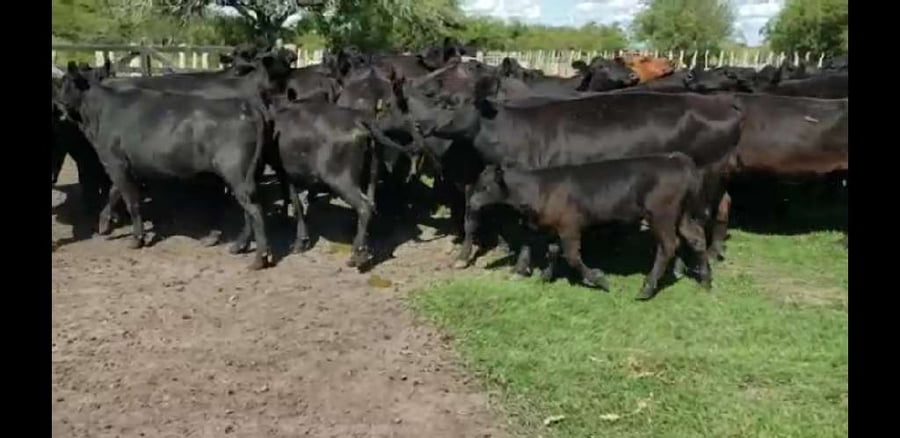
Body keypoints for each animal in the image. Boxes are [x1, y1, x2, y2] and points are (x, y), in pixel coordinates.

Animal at [57, 63, 272, 270]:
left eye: (64, 83)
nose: (58, 102)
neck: (100, 110)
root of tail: (247, 108)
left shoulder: (115, 162)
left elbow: (131, 201)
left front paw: (136, 239)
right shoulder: (129, 166)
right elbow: (114, 192)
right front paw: (104, 224)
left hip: (237, 172)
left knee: (254, 210)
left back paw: (258, 259)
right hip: (246, 175)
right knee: (248, 210)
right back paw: (238, 246)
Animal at [466, 154, 711, 300]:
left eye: (485, 186)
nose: (471, 203)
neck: (541, 188)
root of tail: (676, 159)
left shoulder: (570, 227)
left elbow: (572, 257)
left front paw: (599, 279)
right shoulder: (556, 228)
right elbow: (553, 251)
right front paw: (544, 277)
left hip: (662, 215)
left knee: (668, 246)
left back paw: (647, 288)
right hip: (682, 214)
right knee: (696, 238)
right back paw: (706, 282)